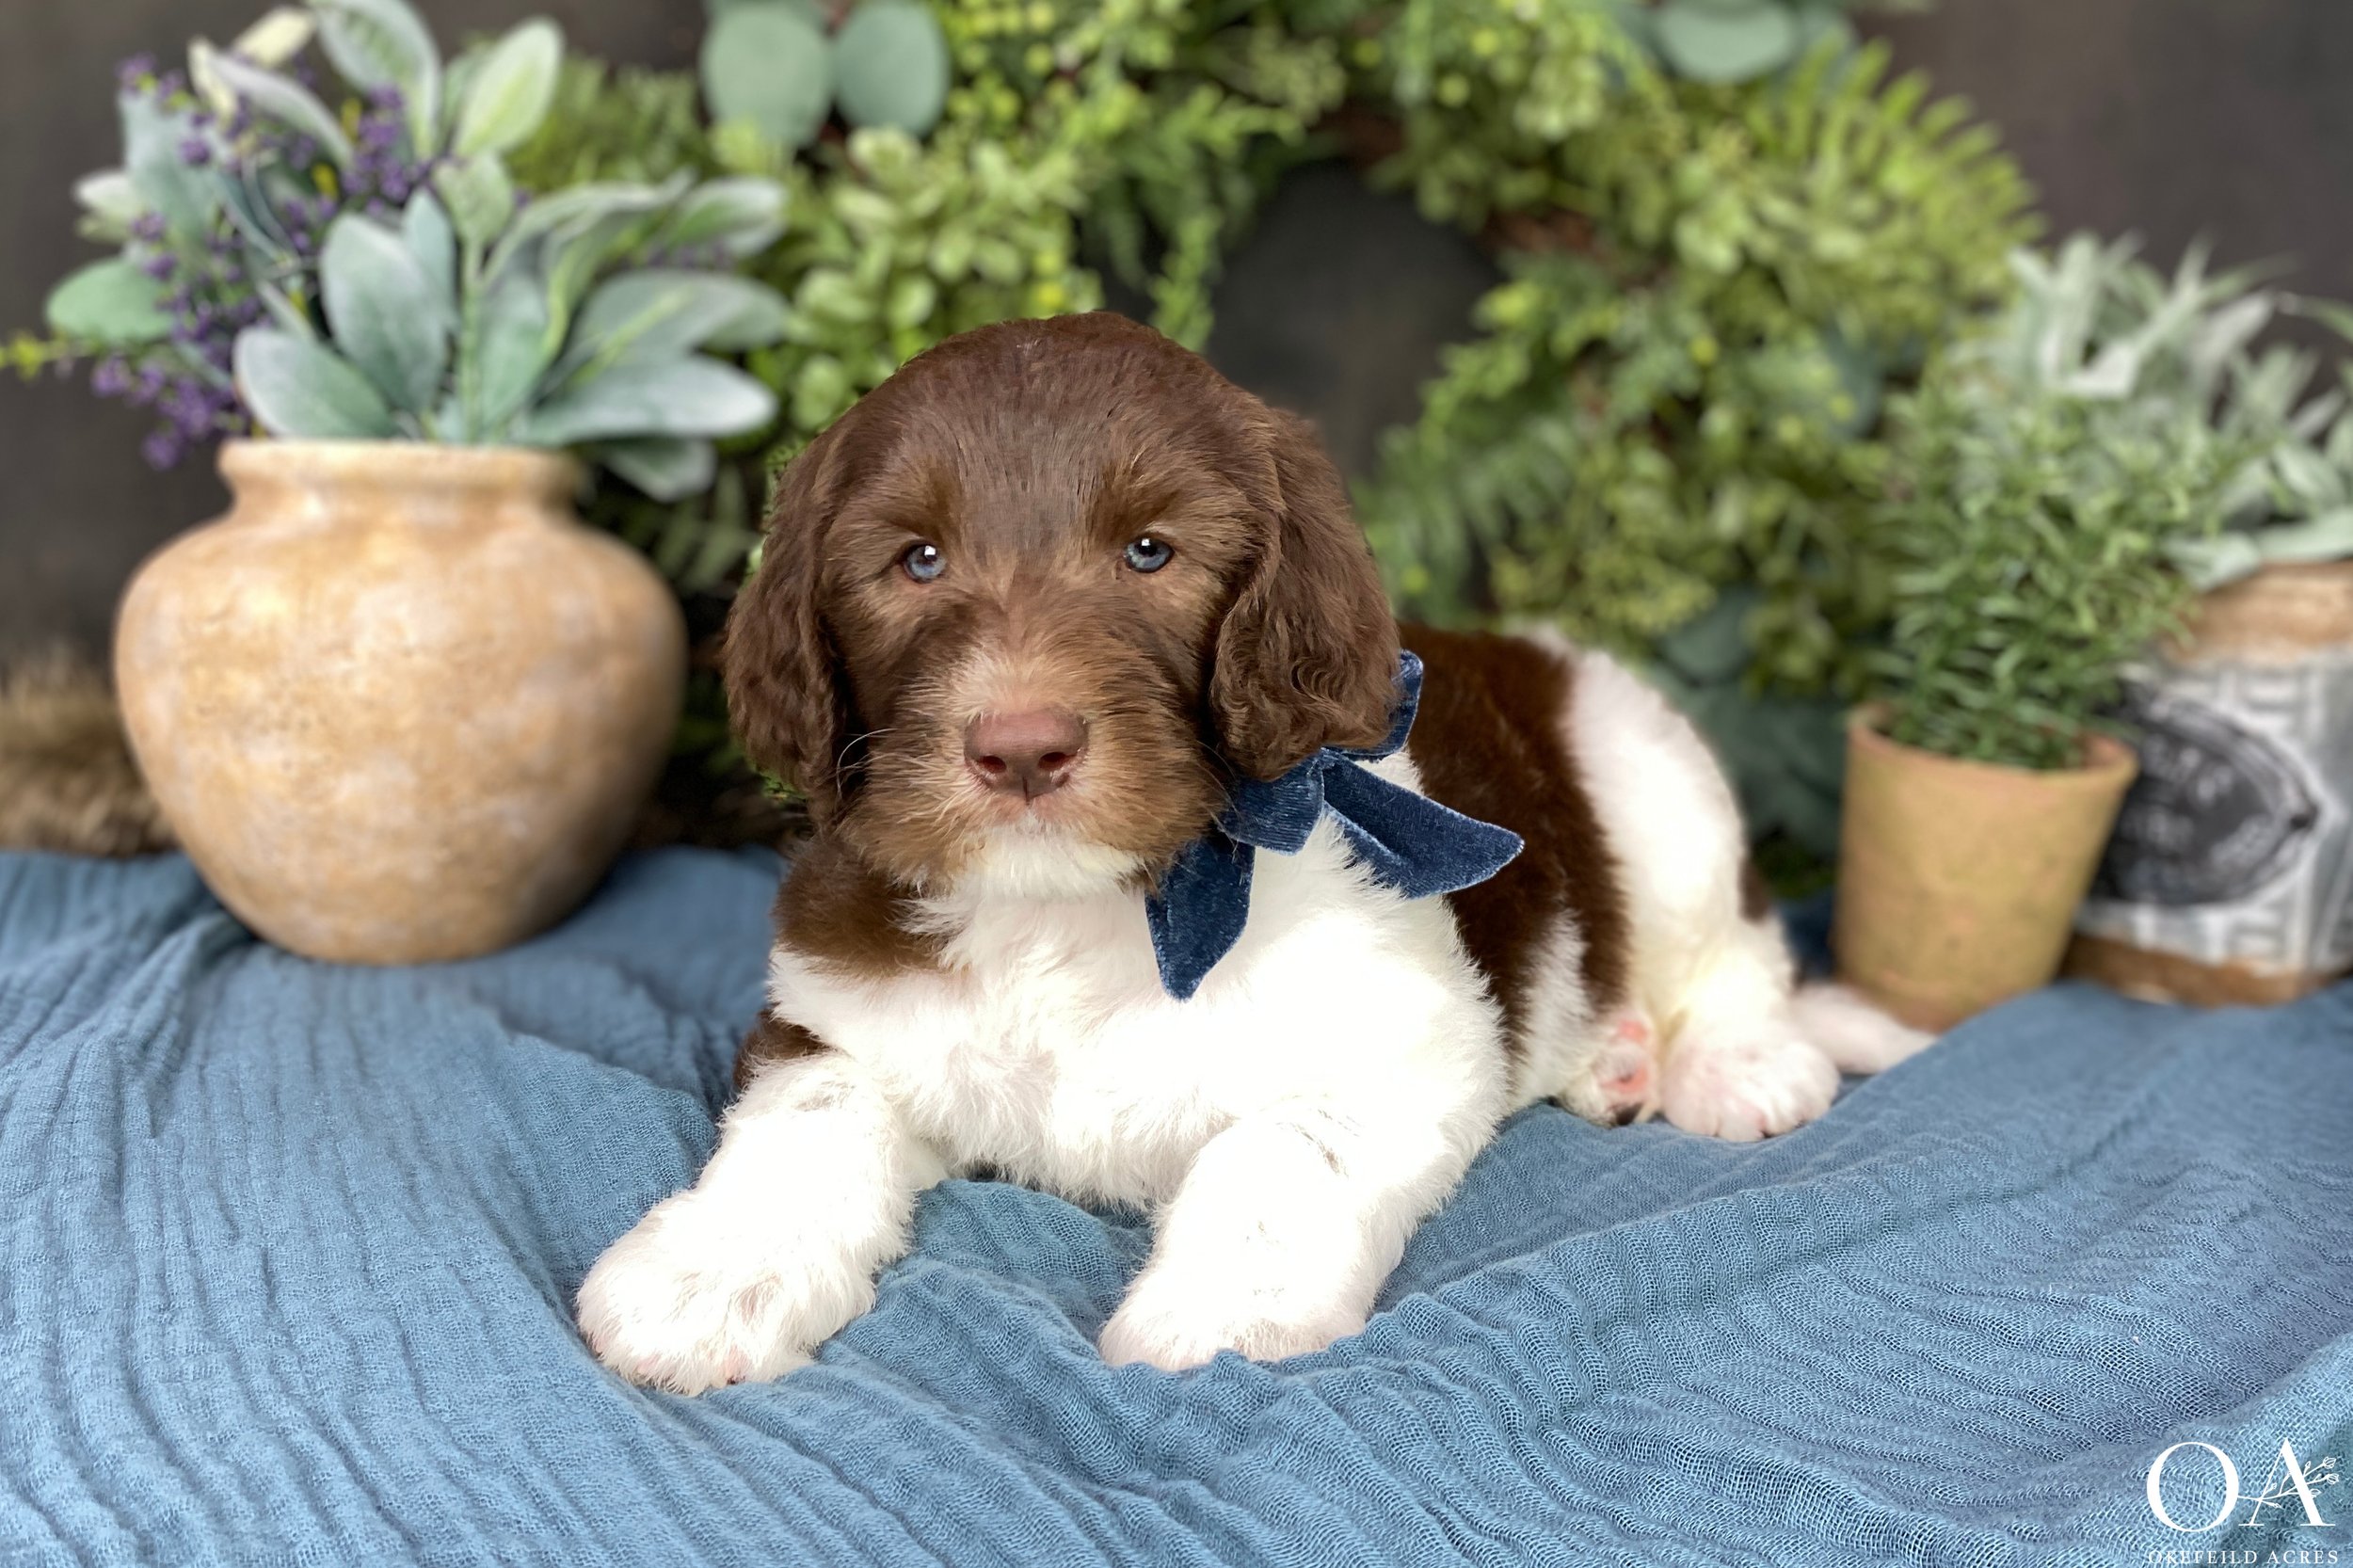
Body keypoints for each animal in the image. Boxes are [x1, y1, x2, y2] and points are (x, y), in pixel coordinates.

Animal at [574, 311, 1929, 1384]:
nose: (1020, 749)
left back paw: (1736, 1062)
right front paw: (709, 1278)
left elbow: (1279, 1146)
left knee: (1731, 947)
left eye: (1149, 551)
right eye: (916, 559)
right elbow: (806, 1122)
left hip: (1650, 777)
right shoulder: (836, 1007)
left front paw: (1226, 1308)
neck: (1078, 910)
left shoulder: (1407, 1035)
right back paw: (1613, 1060)